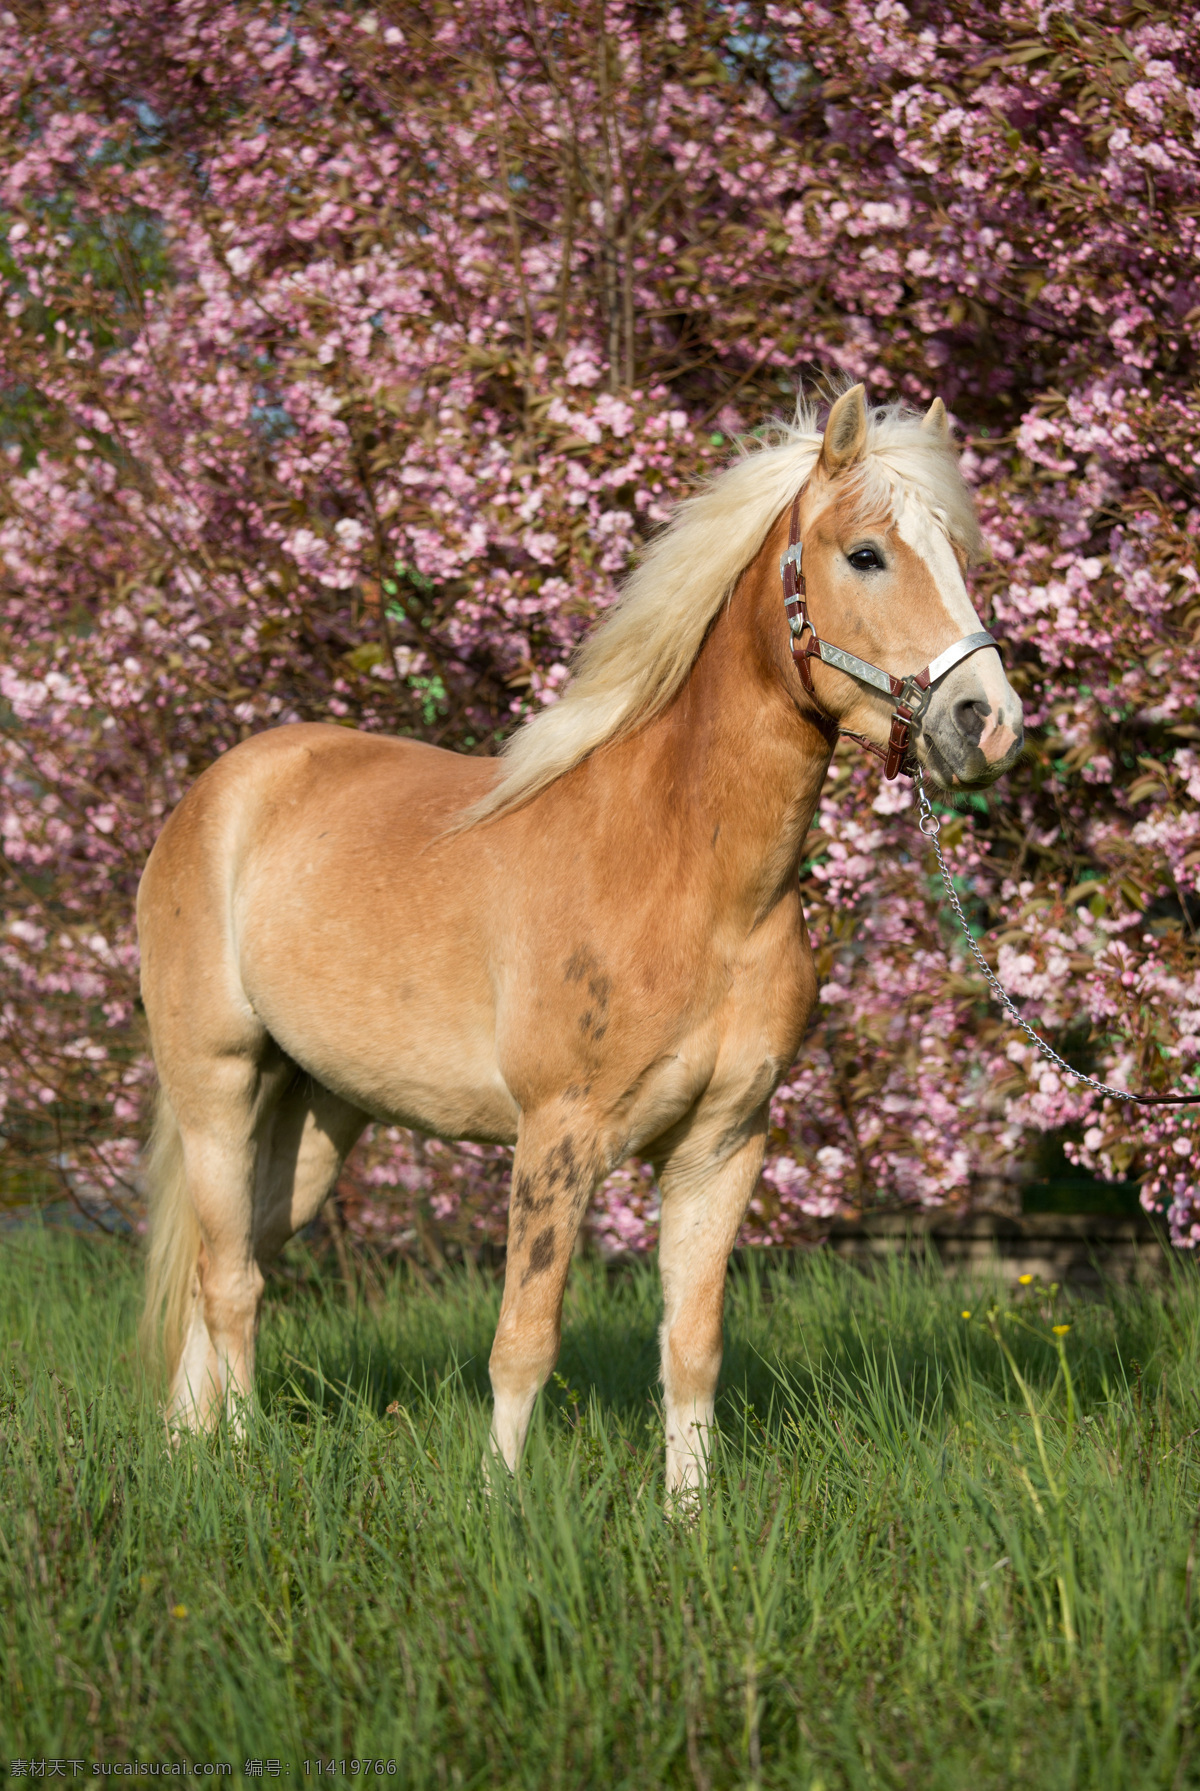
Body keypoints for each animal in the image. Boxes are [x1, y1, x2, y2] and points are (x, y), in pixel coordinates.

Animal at [138, 385, 1024, 1490]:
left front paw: (688, 1515)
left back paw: (188, 1451)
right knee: (229, 1282)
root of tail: (219, 792)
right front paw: (501, 1504)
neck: (684, 879)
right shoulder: (557, 1134)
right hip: (215, 1085)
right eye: (866, 554)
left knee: (230, 1268)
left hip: (313, 1115)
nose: (989, 721)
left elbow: (692, 1346)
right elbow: (524, 1340)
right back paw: (240, 1458)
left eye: (960, 554)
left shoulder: (722, 1145)